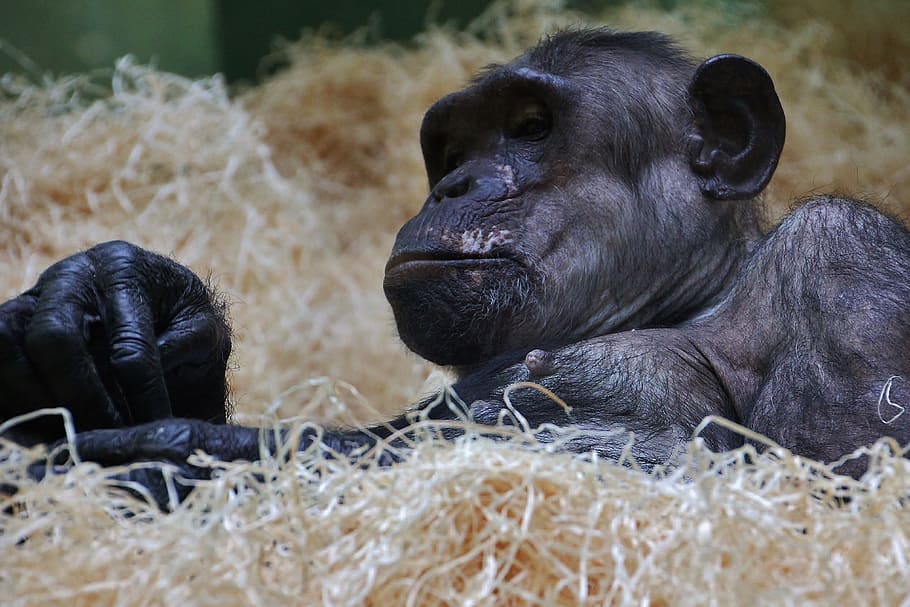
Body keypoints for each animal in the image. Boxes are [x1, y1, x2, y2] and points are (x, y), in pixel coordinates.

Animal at [2, 29, 909, 504]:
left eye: (533, 127)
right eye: (450, 148)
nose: (454, 185)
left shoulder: (845, 262)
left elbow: (837, 489)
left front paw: (182, 454)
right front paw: (122, 301)